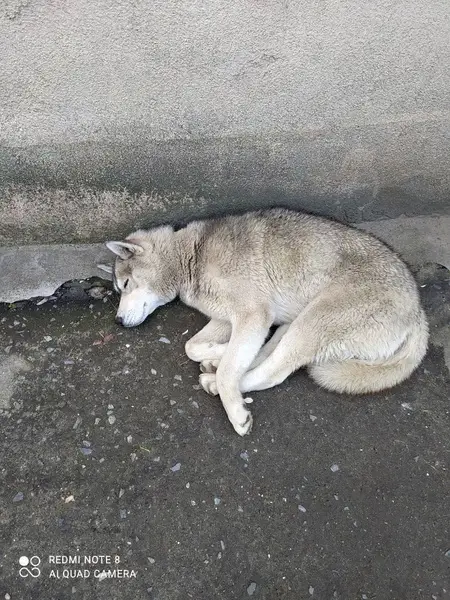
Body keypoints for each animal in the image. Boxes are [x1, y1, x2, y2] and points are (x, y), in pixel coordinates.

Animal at [98, 208, 428, 436]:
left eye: (124, 284)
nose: (117, 321)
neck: (191, 254)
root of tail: (418, 312)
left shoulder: (252, 314)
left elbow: (228, 366)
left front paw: (233, 404)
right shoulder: (227, 317)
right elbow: (192, 346)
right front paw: (217, 354)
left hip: (316, 320)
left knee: (274, 372)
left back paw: (218, 385)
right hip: (301, 320)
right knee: (273, 350)